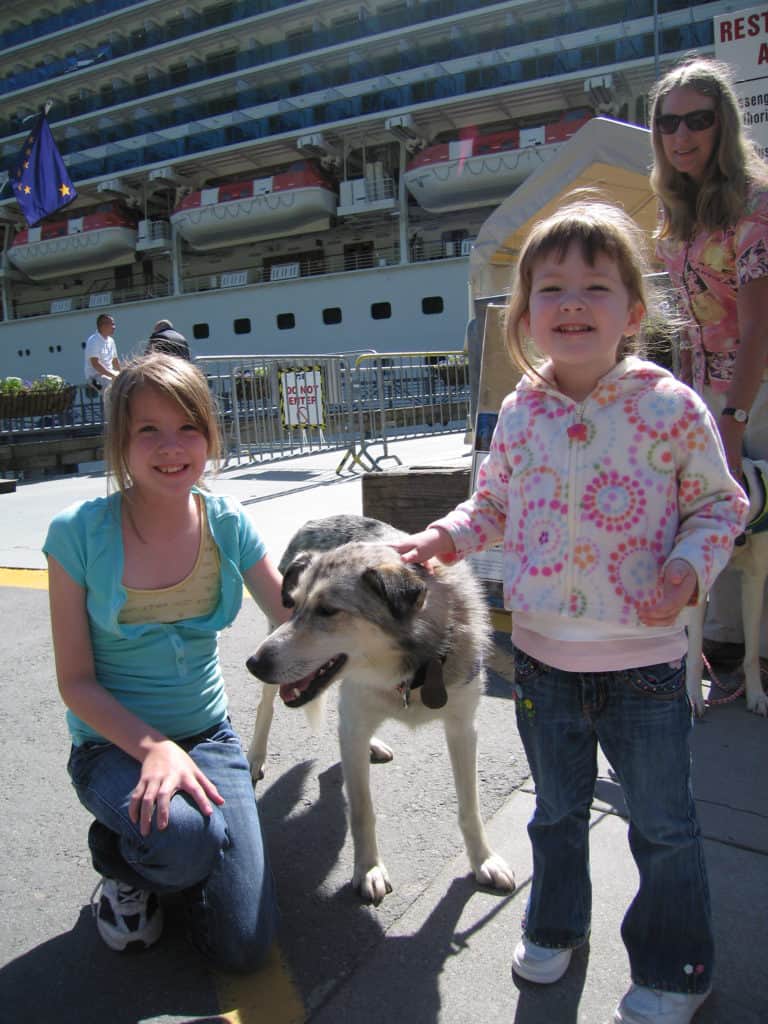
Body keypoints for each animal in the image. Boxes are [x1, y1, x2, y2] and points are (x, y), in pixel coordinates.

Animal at [246, 516, 518, 901]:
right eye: (295, 605)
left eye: (328, 611)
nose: (253, 663)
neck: (412, 670)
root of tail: (318, 519)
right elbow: (362, 810)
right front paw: (368, 869)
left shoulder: (463, 729)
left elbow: (470, 807)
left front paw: (484, 860)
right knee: (266, 708)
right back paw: (255, 757)